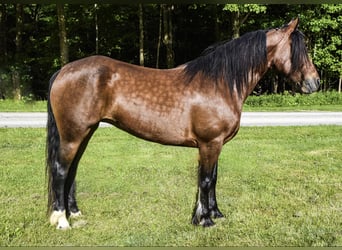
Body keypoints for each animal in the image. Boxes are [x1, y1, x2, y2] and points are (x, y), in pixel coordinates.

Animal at [46, 18, 320, 229]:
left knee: (72, 170)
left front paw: (215, 214)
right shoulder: (210, 143)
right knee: (60, 170)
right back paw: (62, 221)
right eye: (299, 50)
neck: (220, 83)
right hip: (73, 135)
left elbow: (213, 178)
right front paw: (205, 221)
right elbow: (206, 180)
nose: (314, 83)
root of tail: (63, 71)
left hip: (84, 133)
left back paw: (75, 214)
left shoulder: (215, 144)